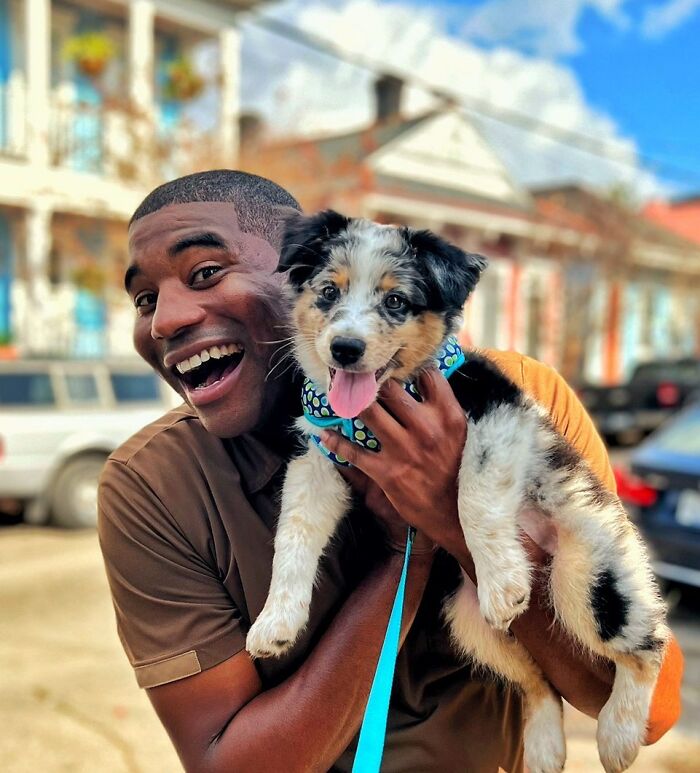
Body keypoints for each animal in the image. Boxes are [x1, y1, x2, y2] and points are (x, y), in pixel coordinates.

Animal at [246, 210, 668, 772]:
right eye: (328, 291)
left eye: (396, 301)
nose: (345, 349)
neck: (376, 409)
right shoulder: (318, 460)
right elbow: (292, 535)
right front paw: (276, 621)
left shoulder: (495, 412)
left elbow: (473, 495)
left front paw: (504, 580)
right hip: (469, 622)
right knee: (537, 681)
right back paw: (544, 746)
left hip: (586, 572)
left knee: (648, 645)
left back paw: (618, 734)